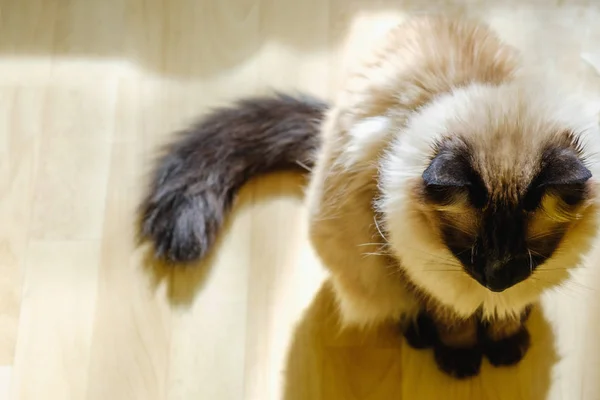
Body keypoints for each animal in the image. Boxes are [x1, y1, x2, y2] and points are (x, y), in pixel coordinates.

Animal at [138, 15, 600, 378]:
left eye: (527, 253)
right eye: (469, 249)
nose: (497, 280)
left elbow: (510, 313)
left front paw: (506, 344)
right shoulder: (407, 257)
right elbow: (450, 317)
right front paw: (461, 359)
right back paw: (420, 336)